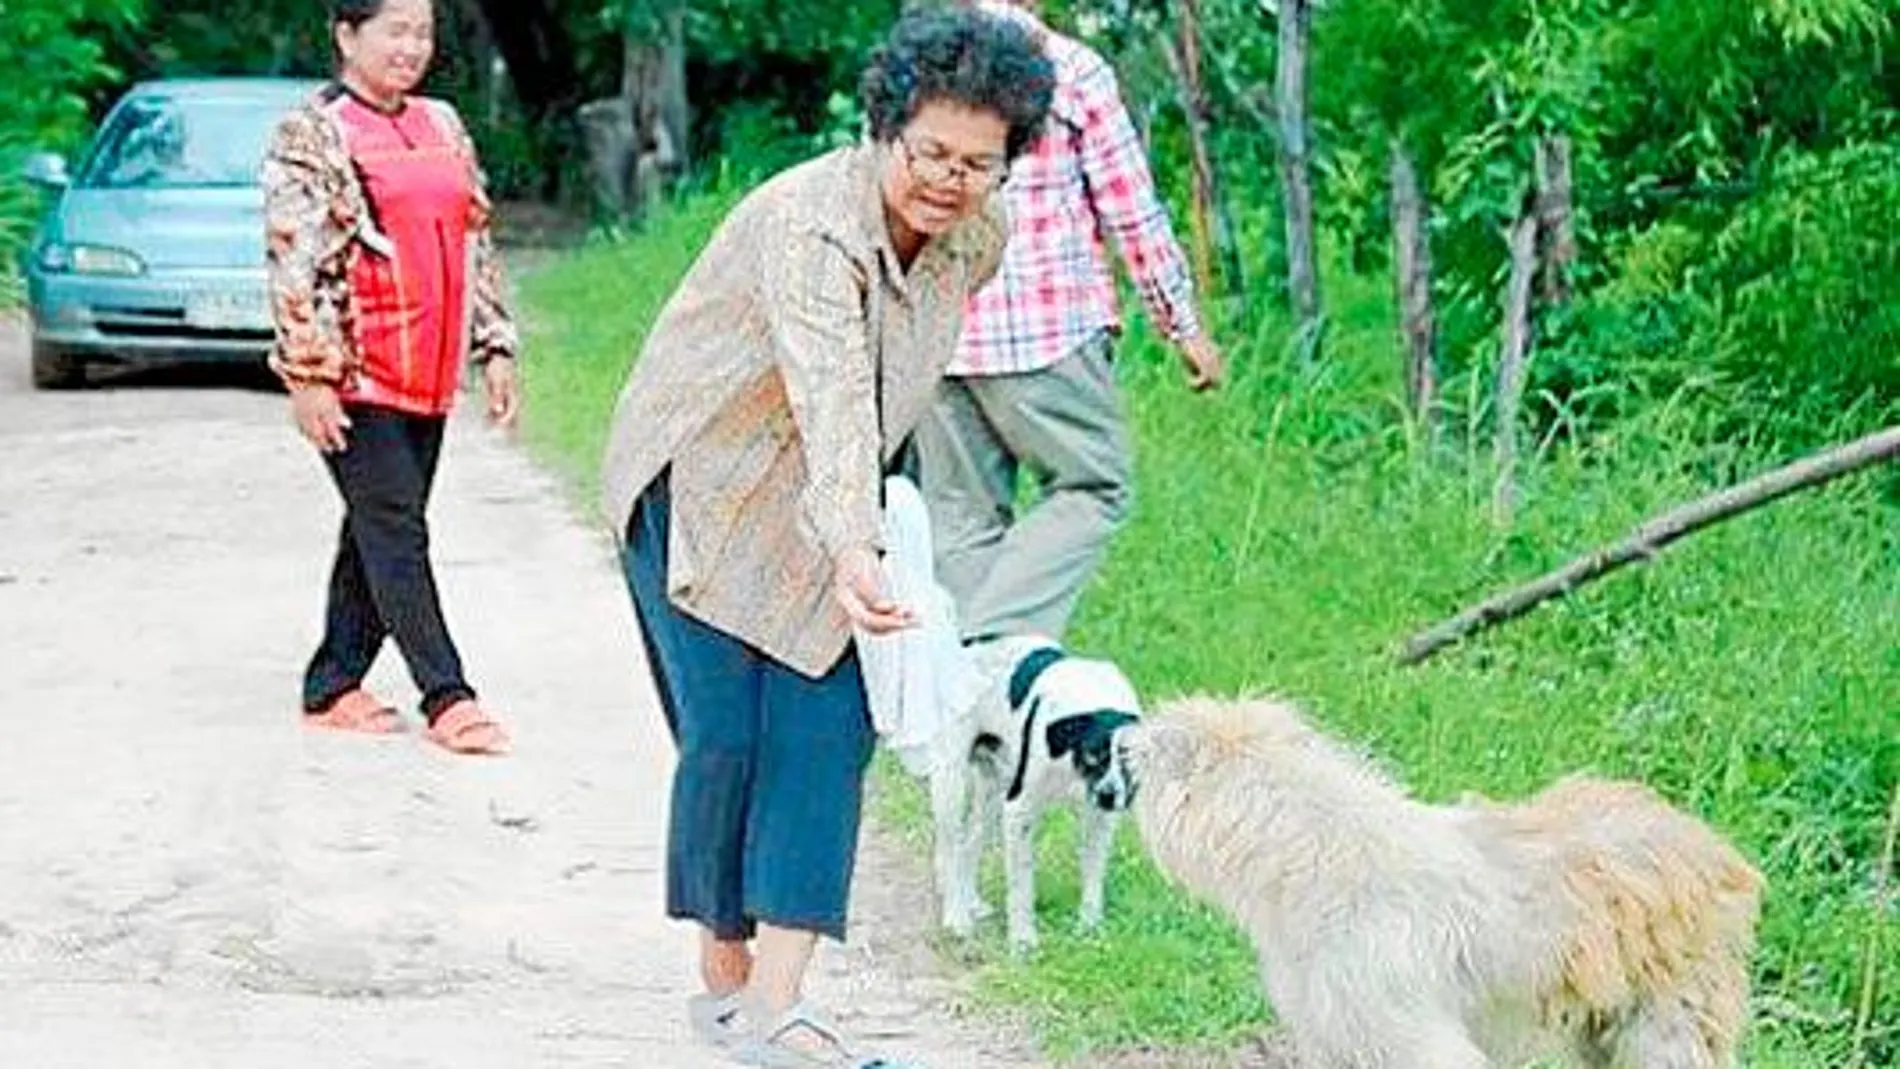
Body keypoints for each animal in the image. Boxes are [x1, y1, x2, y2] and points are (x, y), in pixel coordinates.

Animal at [923, 634, 1132, 953]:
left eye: (1130, 760)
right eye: (1093, 755)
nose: (1109, 797)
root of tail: (968, 640)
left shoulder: (1099, 818)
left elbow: (1094, 872)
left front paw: (1090, 924)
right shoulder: (1019, 809)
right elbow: (1022, 882)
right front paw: (1022, 939)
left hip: (992, 792)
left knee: (970, 845)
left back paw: (971, 902)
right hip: (951, 782)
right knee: (950, 849)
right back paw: (956, 917)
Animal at [1117, 694, 1755, 1069]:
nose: (1119, 739)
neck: (1319, 854)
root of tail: (1712, 847)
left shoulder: (1415, 1038)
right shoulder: (1337, 1034)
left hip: (1668, 1032)